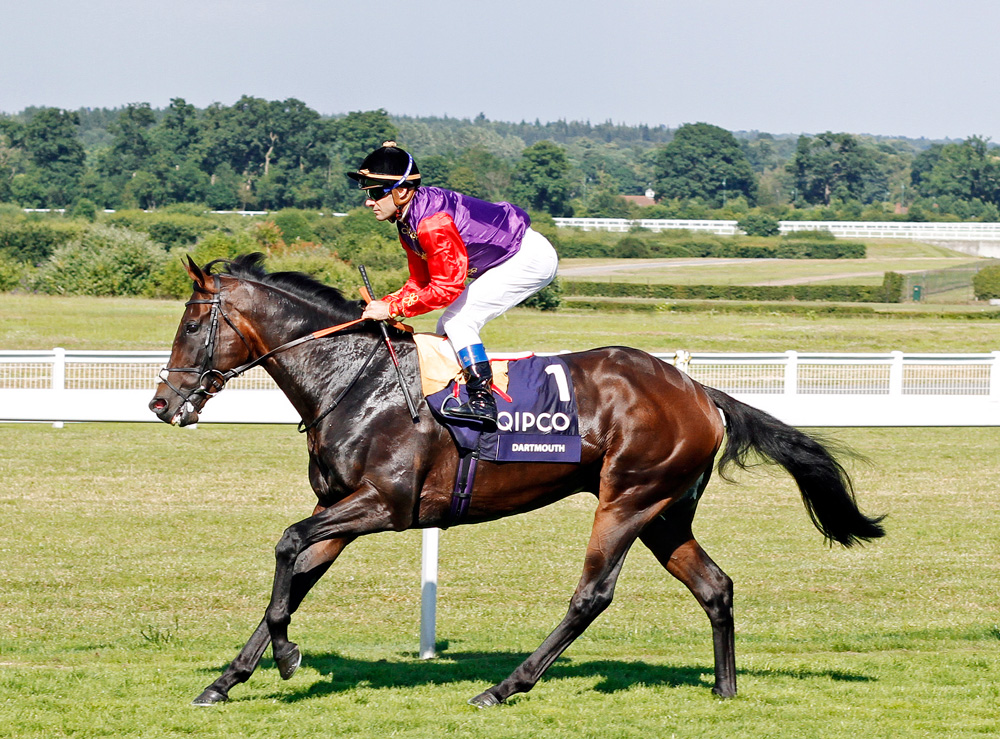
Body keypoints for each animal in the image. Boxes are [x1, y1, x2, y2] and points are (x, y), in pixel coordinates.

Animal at [148, 256, 884, 712]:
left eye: (192, 323)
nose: (161, 403)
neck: (354, 383)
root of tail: (700, 391)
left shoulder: (384, 504)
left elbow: (285, 545)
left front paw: (286, 656)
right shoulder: (340, 505)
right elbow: (294, 577)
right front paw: (228, 678)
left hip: (628, 498)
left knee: (592, 595)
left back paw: (503, 687)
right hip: (665, 511)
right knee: (716, 586)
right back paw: (725, 691)